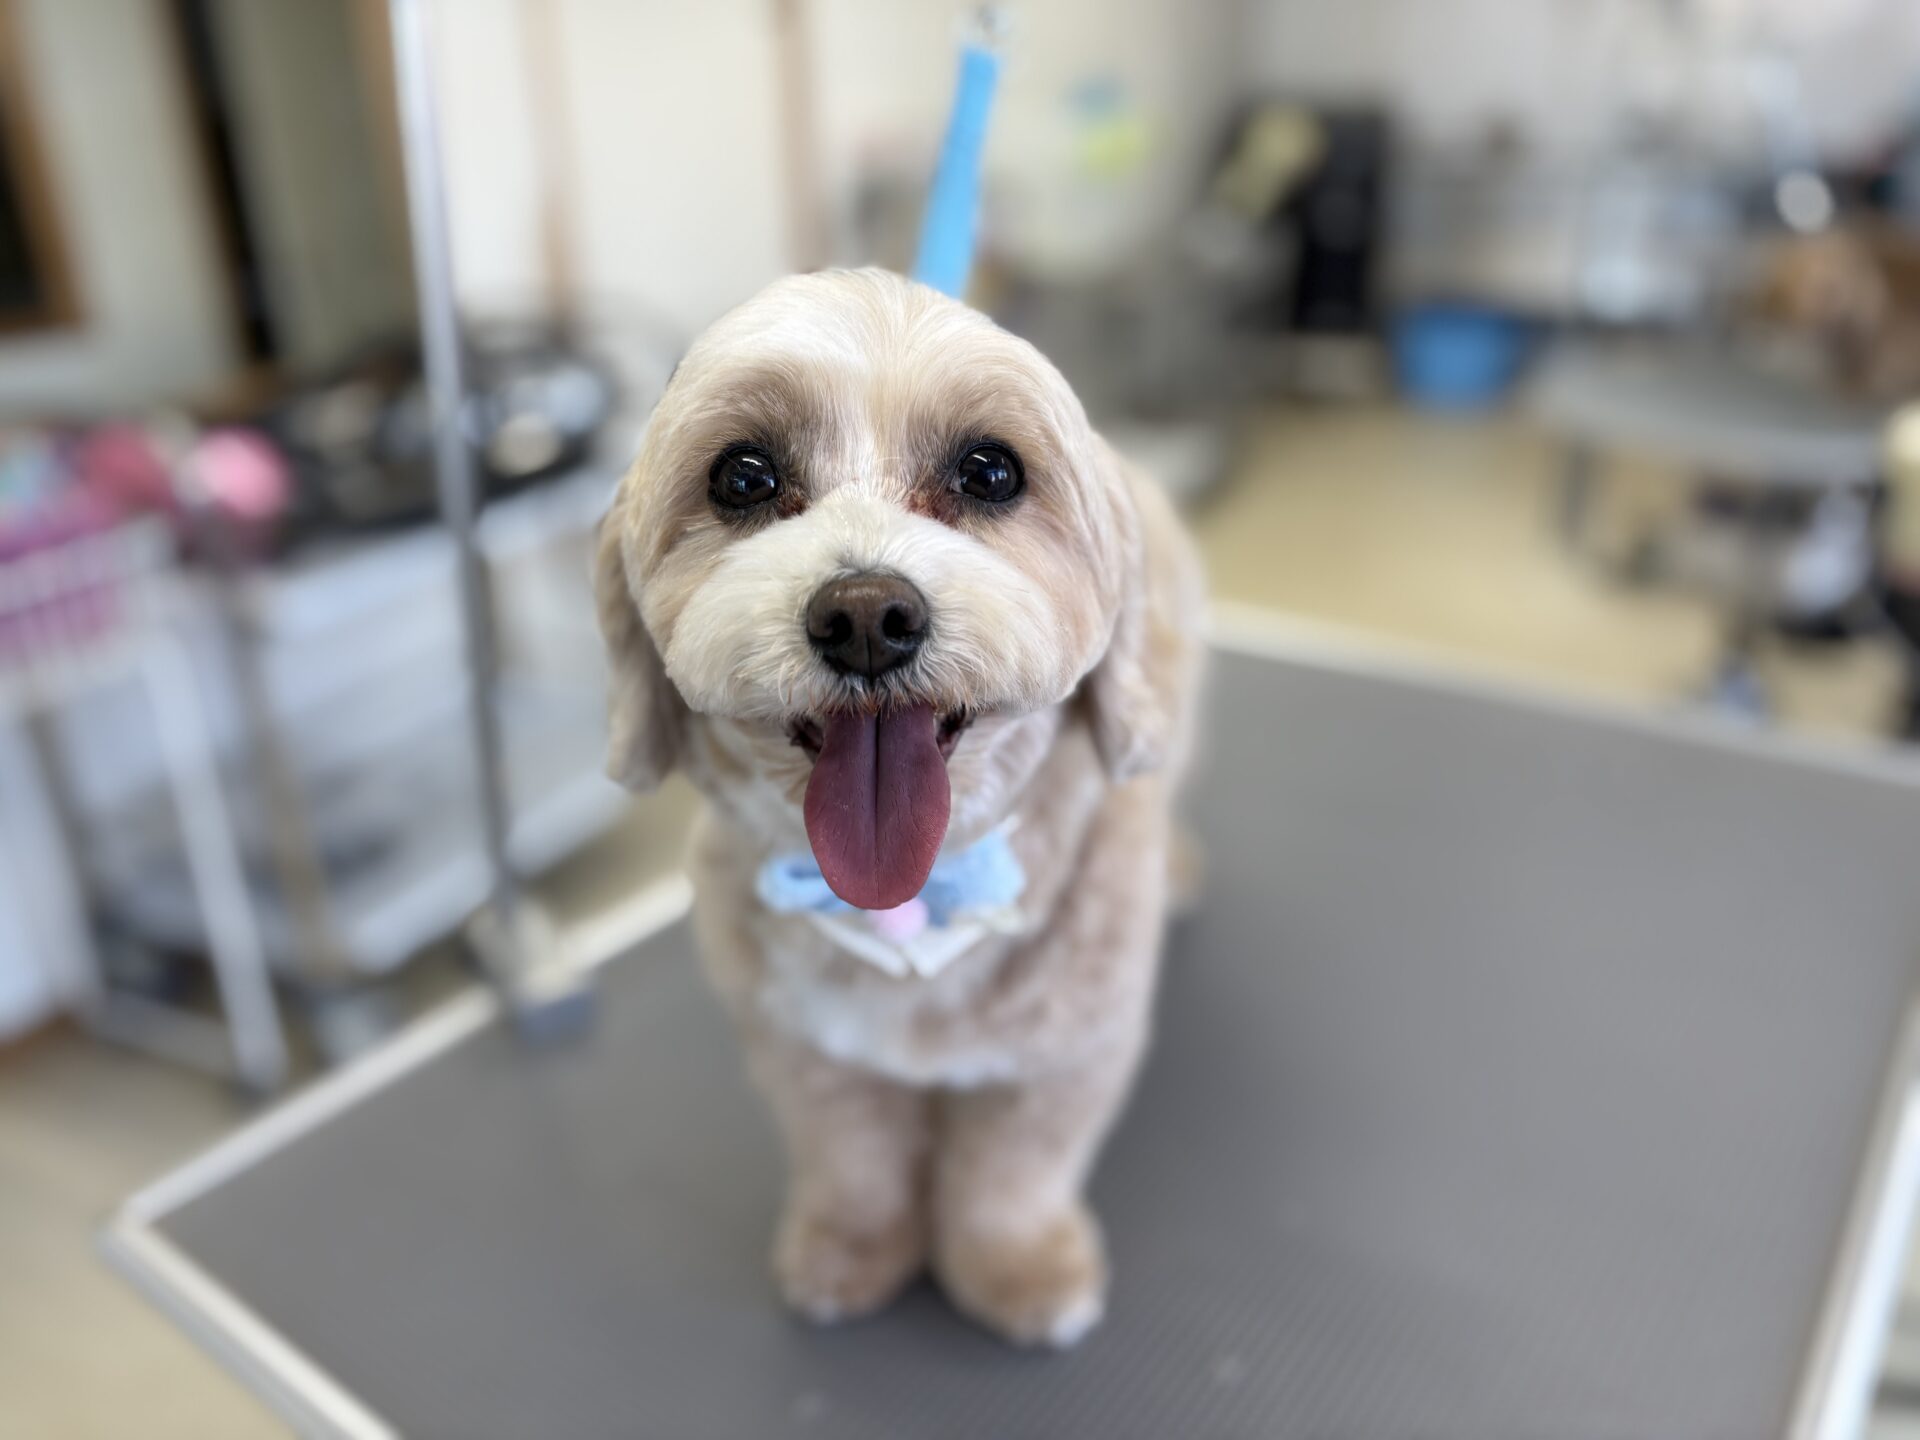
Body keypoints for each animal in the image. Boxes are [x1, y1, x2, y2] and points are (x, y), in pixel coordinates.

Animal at [594, 267, 1204, 1347]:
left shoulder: (1069, 1050)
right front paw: (850, 1253)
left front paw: (1019, 1272)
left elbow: (1015, 1170)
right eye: (743, 478)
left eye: (991, 472)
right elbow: (854, 1160)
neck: (915, 898)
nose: (867, 616)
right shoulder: (803, 1048)